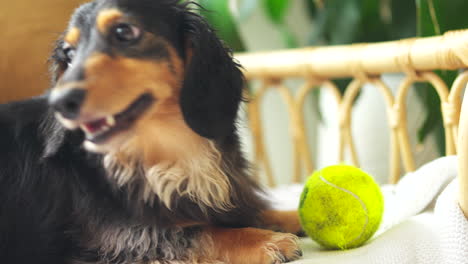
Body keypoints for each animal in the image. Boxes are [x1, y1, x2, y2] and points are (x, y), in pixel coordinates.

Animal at [0, 0, 304, 264]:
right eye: (69, 54)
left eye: (124, 31)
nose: (59, 103)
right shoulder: (119, 237)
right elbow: (203, 231)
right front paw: (266, 241)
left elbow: (256, 210)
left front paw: (293, 216)